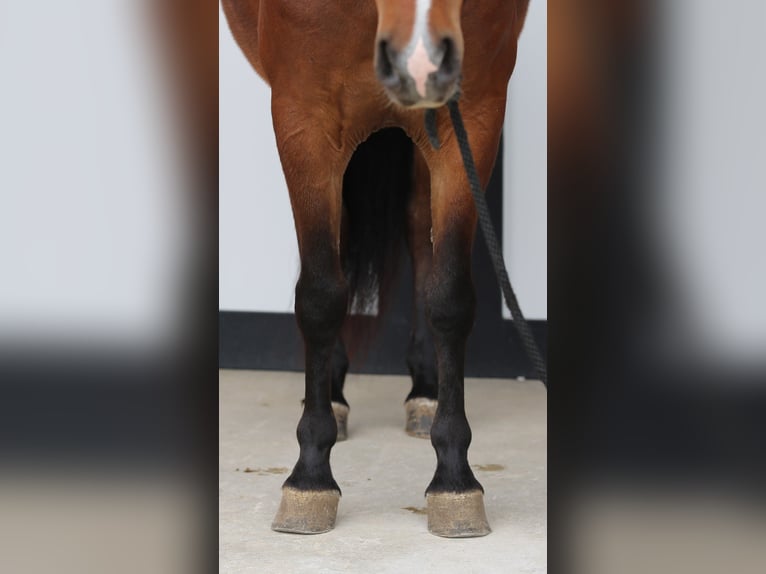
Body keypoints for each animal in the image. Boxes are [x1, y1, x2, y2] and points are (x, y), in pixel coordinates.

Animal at [221, 0, 530, 537]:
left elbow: (449, 298)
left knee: (419, 228)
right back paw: (333, 395)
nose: (421, 61)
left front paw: (454, 480)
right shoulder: (304, 119)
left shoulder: (473, 116)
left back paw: (425, 392)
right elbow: (320, 297)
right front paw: (310, 478)